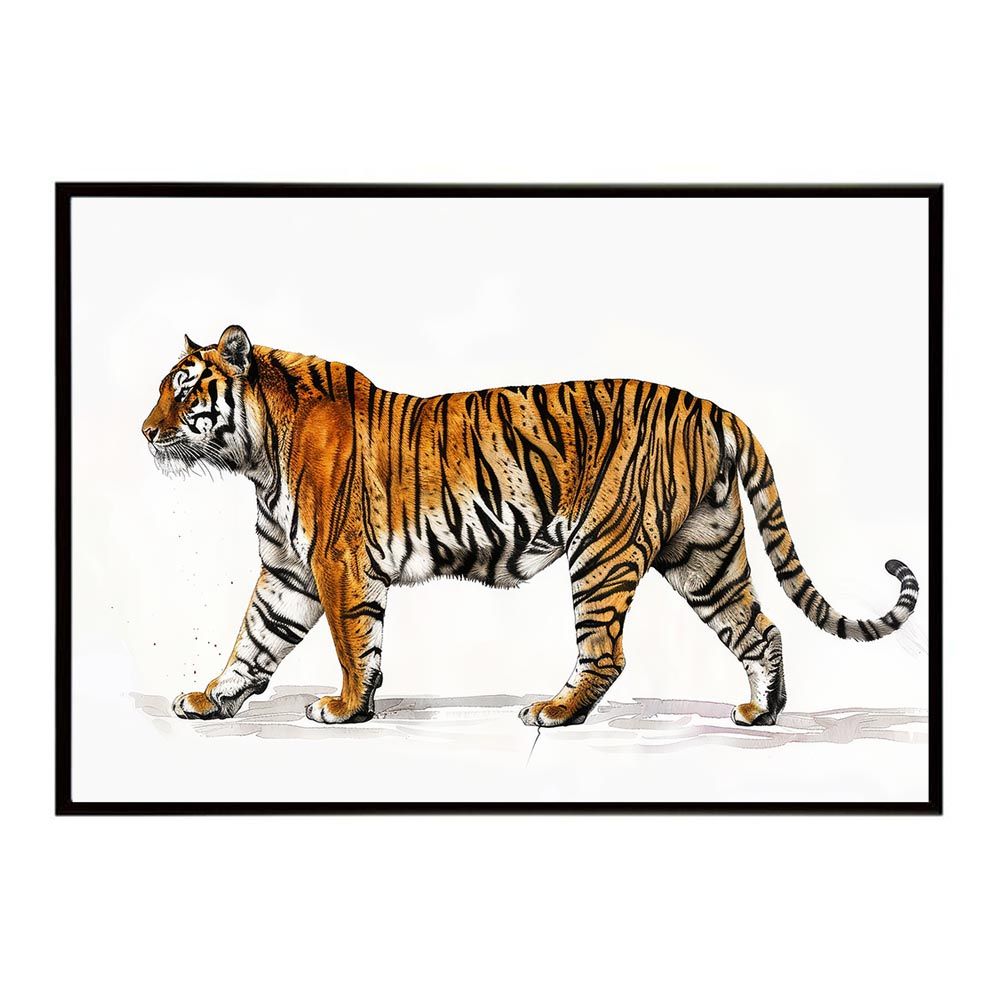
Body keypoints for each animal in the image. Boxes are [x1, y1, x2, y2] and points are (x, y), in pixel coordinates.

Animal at [142, 325, 919, 728]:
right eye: (161, 388)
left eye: (183, 389)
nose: (145, 432)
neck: (255, 456)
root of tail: (714, 408)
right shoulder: (288, 573)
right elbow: (254, 640)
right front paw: (209, 698)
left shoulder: (337, 564)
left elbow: (351, 642)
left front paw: (347, 706)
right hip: (705, 554)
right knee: (759, 627)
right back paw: (763, 713)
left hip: (603, 551)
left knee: (606, 652)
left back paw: (554, 710)